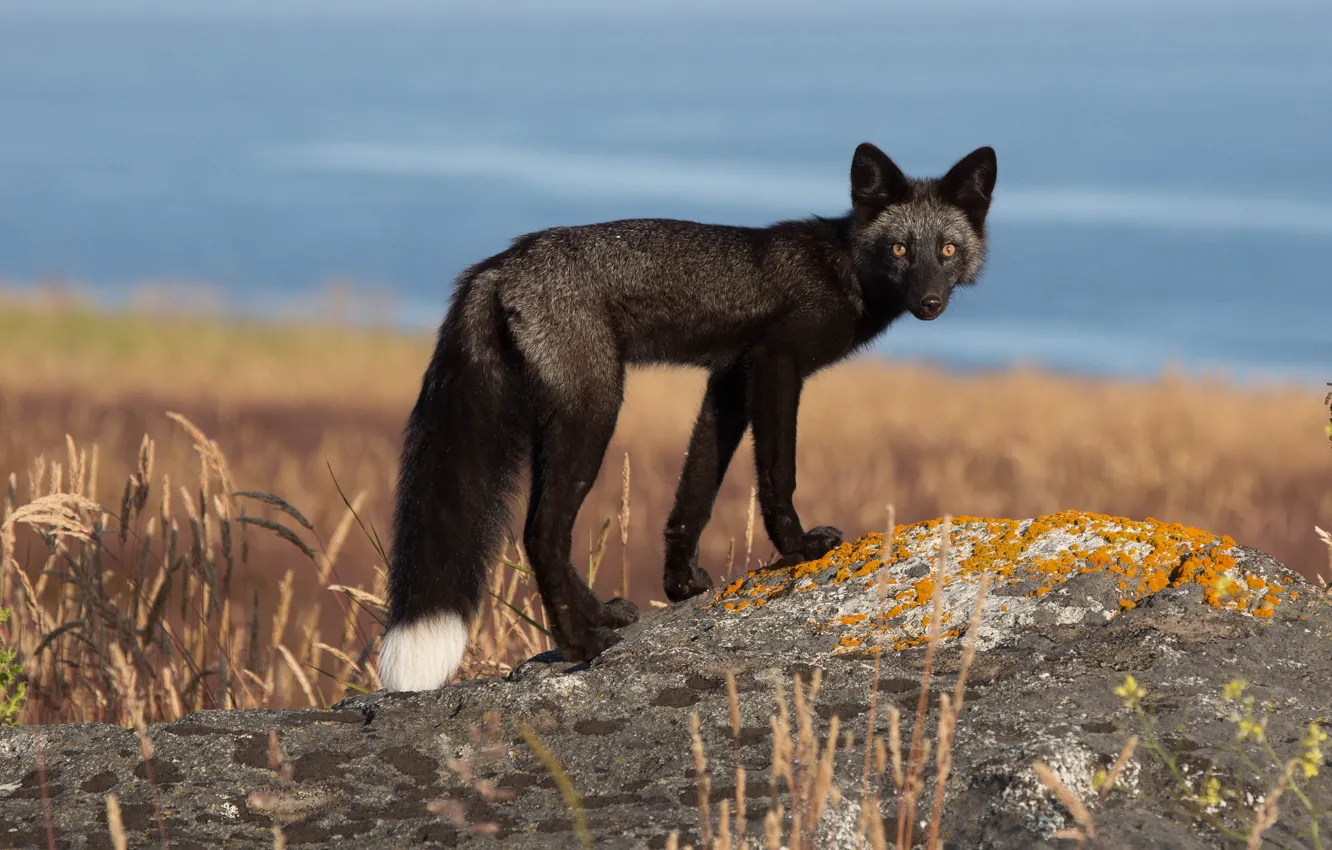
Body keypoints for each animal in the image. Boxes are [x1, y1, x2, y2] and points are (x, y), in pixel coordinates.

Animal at [380, 141, 996, 692]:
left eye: (946, 250)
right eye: (899, 250)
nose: (931, 303)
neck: (842, 268)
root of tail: (500, 262)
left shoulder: (728, 379)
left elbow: (695, 489)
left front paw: (679, 586)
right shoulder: (776, 363)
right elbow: (778, 472)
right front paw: (798, 548)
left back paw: (603, 616)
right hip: (594, 411)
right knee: (541, 532)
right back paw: (583, 644)